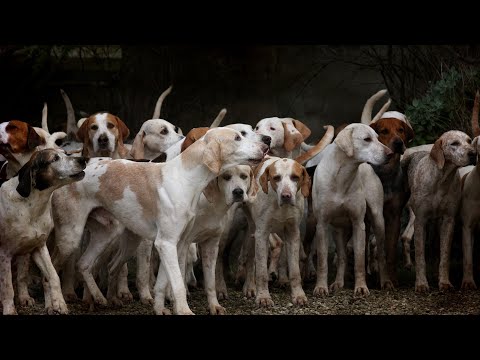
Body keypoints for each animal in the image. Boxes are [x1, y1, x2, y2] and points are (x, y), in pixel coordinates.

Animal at [402, 130, 476, 292]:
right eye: (454, 143)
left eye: (469, 141)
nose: (474, 153)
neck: (441, 180)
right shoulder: (420, 221)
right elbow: (420, 256)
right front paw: (421, 284)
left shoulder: (448, 220)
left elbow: (445, 255)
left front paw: (444, 282)